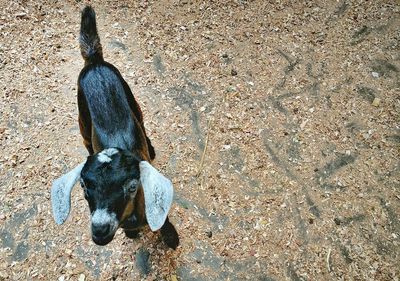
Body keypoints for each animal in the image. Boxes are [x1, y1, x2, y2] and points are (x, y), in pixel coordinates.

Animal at [50, 5, 179, 248]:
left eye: (132, 186)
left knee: (142, 123)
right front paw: (131, 234)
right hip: (83, 121)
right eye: (83, 186)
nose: (100, 230)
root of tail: (94, 61)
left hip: (131, 99)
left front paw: (171, 238)